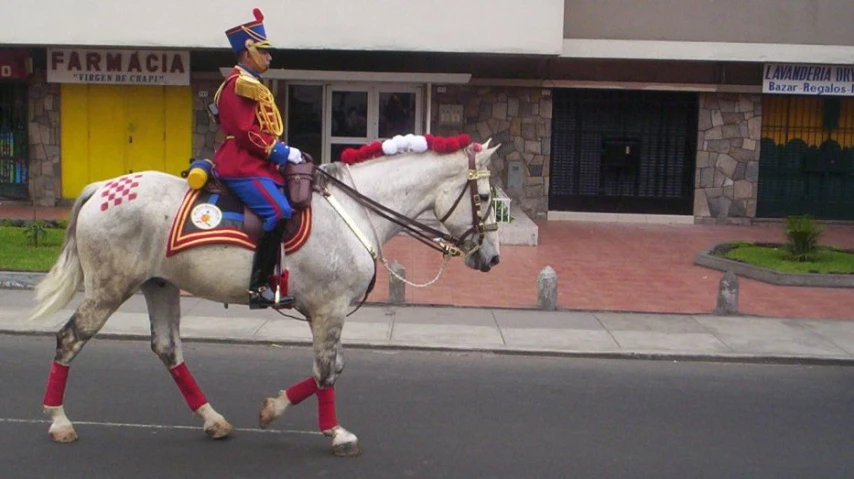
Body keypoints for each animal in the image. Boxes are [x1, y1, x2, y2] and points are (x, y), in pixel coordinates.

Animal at [30, 140, 504, 458]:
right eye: (484, 198)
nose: (493, 258)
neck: (356, 210)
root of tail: (102, 187)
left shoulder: (327, 313)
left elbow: (331, 368)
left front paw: (272, 410)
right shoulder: (329, 310)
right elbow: (326, 371)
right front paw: (336, 433)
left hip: (160, 286)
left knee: (168, 349)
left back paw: (213, 419)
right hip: (108, 289)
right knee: (69, 340)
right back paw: (58, 420)